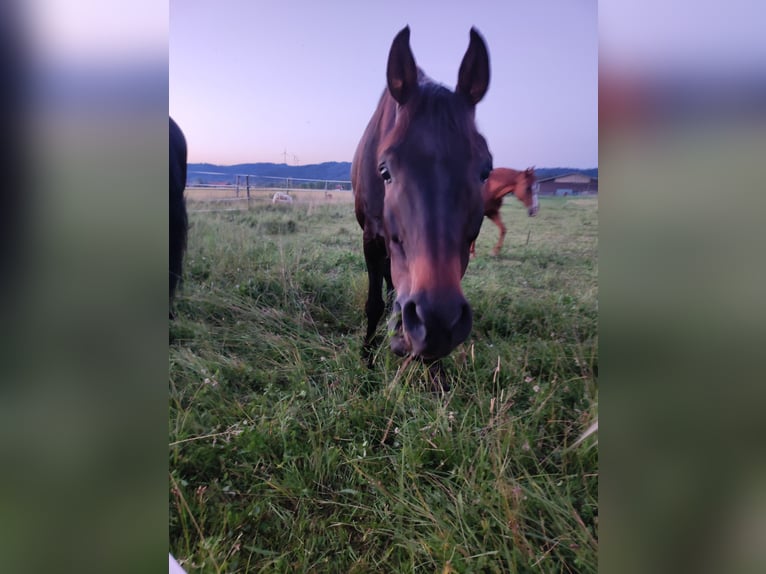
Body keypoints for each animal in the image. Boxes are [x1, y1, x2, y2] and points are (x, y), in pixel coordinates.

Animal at [352, 27, 492, 368]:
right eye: (384, 170)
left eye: (486, 170)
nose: (435, 322)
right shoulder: (371, 238)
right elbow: (374, 303)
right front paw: (367, 357)